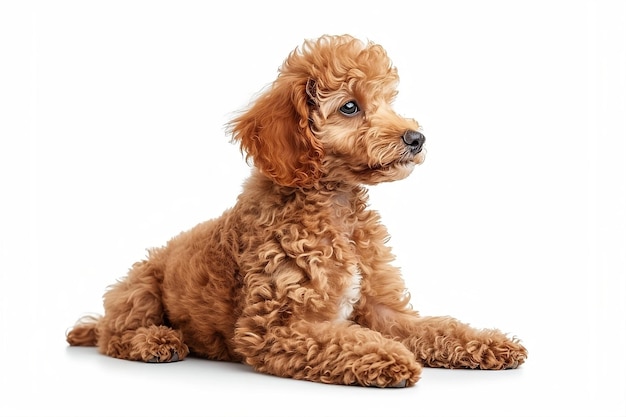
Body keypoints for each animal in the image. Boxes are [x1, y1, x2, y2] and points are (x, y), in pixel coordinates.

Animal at [67, 35, 528, 386]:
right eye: (349, 106)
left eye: (388, 101)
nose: (416, 138)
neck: (336, 206)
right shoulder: (275, 328)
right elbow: (345, 341)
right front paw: (392, 358)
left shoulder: (384, 309)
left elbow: (435, 327)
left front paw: (490, 343)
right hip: (140, 289)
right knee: (113, 335)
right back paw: (156, 342)